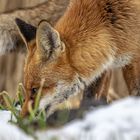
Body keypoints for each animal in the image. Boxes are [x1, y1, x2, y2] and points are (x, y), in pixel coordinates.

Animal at [3, 0, 140, 116]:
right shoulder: (102, 63)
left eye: (35, 90)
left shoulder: (133, 60)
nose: (22, 119)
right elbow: (89, 96)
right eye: (27, 90)